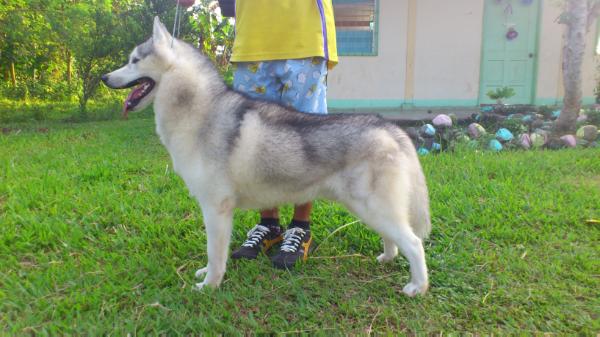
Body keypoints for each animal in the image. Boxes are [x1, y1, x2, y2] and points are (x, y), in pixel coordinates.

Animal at [103, 17, 432, 296]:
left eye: (134, 60)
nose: (105, 77)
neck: (198, 111)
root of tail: (390, 126)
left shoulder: (216, 208)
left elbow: (215, 254)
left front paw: (210, 286)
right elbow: (212, 256)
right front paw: (205, 275)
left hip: (374, 207)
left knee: (415, 243)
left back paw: (417, 286)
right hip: (371, 209)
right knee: (395, 238)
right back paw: (387, 258)